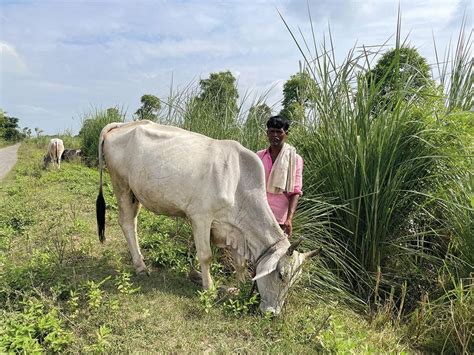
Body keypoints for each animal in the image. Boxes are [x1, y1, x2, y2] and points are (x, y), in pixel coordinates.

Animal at [96, 121, 318, 316]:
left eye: (294, 281)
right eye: (281, 275)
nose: (273, 314)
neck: (238, 184)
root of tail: (123, 124)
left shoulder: (234, 229)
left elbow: (240, 263)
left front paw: (239, 286)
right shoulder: (201, 217)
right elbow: (206, 256)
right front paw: (209, 287)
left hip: (135, 193)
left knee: (132, 222)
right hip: (121, 185)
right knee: (126, 222)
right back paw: (141, 267)